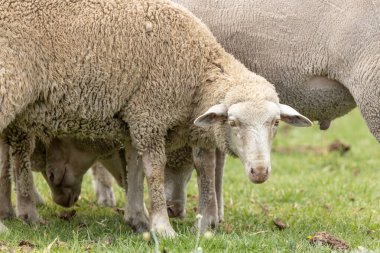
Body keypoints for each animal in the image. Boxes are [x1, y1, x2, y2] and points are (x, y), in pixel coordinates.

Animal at [0, 0, 312, 237]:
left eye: (275, 123)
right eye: (233, 123)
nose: (259, 172)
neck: (196, 74)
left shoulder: (136, 120)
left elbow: (136, 168)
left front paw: (138, 219)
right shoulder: (150, 114)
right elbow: (155, 171)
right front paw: (163, 227)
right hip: (7, 88)